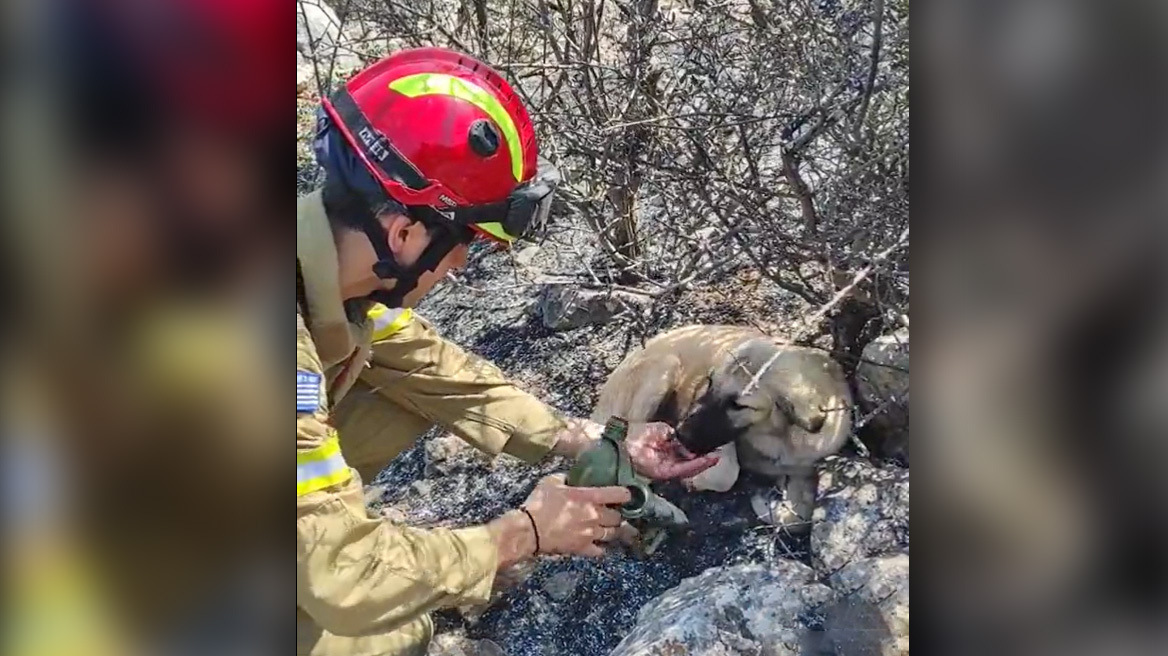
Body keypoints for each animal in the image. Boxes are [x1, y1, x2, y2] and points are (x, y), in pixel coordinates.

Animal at [598, 324, 854, 525]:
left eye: (738, 405)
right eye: (710, 382)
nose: (680, 435)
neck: (780, 437)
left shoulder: (806, 467)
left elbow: (799, 516)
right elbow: (727, 473)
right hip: (664, 368)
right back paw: (662, 509)